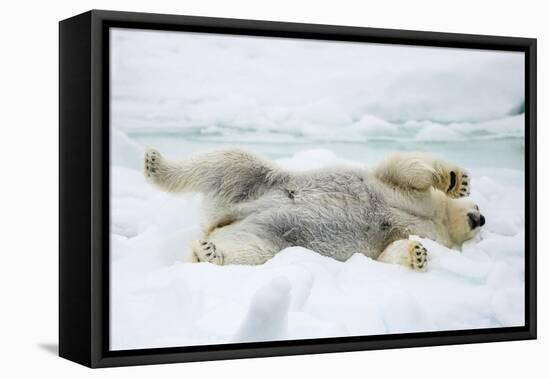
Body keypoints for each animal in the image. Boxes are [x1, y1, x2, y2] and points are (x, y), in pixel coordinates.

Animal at [144, 149, 486, 270]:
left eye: (481, 231)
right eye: (480, 205)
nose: (481, 217)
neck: (436, 218)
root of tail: (222, 219)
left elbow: (388, 252)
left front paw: (417, 254)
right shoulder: (404, 192)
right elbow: (404, 168)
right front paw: (457, 180)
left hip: (268, 236)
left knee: (250, 250)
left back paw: (208, 252)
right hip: (256, 183)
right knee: (228, 161)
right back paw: (154, 163)